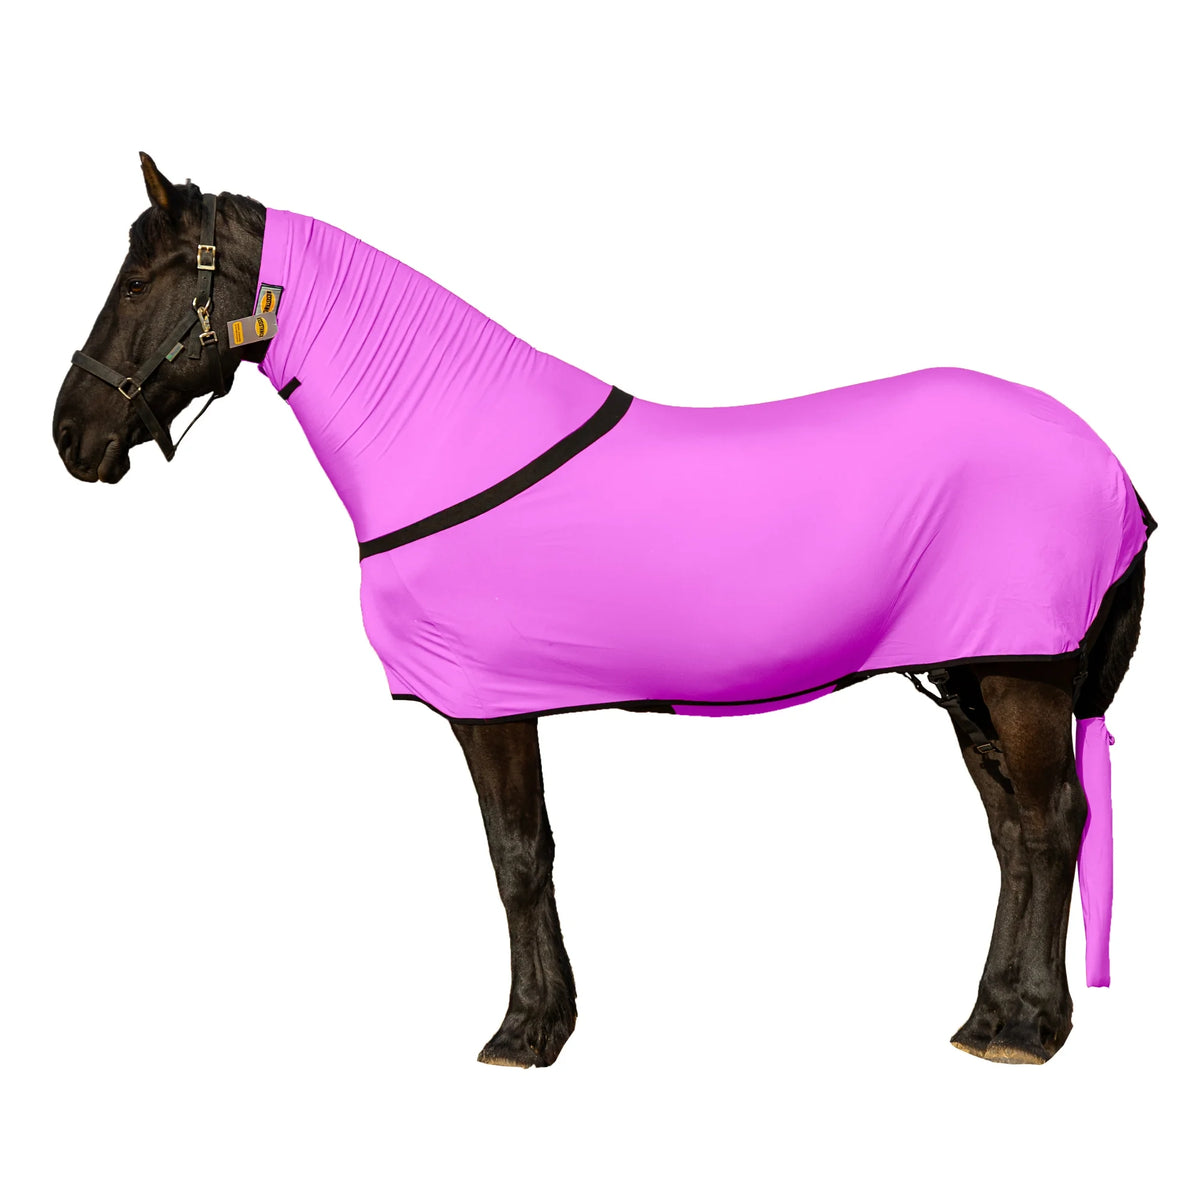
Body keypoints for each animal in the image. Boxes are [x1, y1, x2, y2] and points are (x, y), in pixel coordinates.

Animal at [52, 153, 1154, 1068]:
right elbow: (529, 852)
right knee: (1012, 832)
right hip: (972, 674)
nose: (70, 433)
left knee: (1053, 822)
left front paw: (525, 1032)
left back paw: (1028, 1031)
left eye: (139, 283)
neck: (448, 439)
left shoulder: (488, 705)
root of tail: (1116, 473)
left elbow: (516, 856)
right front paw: (550, 1018)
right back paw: (990, 1017)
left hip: (1021, 674)